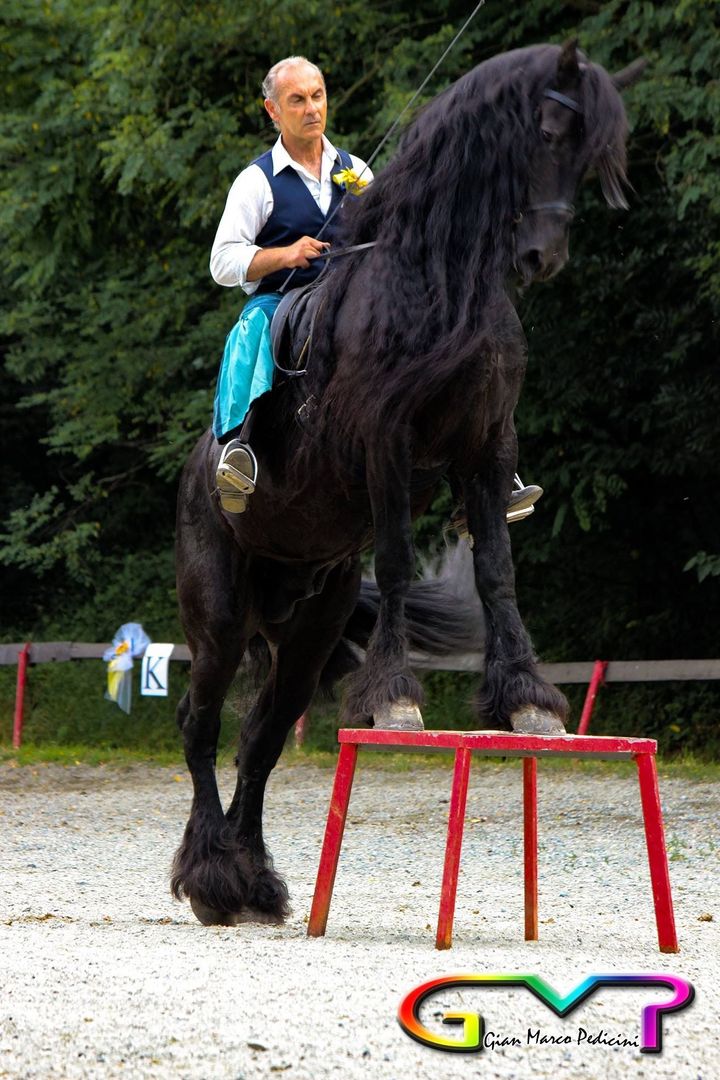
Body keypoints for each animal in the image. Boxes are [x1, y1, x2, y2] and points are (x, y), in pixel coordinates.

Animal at [172, 41, 644, 926]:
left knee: (261, 735)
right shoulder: (386, 446)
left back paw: (252, 882)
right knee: (200, 723)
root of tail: (194, 476)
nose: (541, 259)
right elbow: (393, 560)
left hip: (310, 623)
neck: (441, 281)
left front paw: (526, 698)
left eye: (593, 155)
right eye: (548, 131)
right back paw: (212, 879)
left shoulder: (485, 449)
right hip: (218, 616)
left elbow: (496, 569)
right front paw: (395, 697)